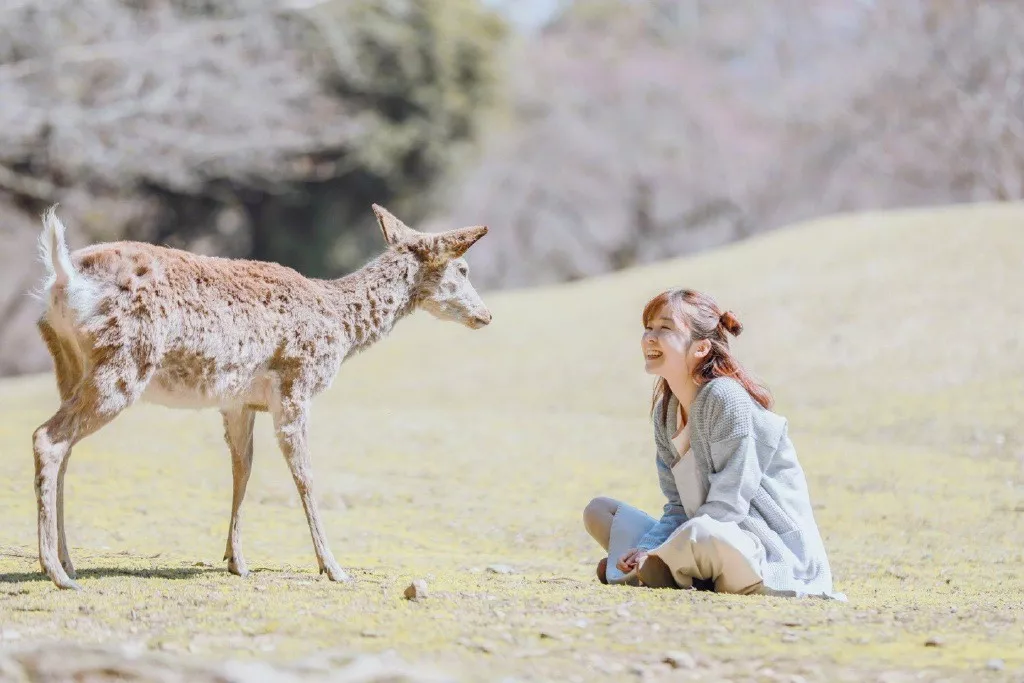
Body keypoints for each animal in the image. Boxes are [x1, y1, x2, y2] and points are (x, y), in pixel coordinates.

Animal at [30, 201, 491, 589]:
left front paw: (236, 561)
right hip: (124, 362)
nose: (486, 315)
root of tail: (64, 278)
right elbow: (304, 474)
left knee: (64, 447)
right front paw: (334, 568)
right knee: (47, 438)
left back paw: (67, 562)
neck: (341, 327)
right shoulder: (295, 384)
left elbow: (243, 468)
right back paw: (57, 572)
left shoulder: (239, 402)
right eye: (464, 269)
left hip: (67, 364)